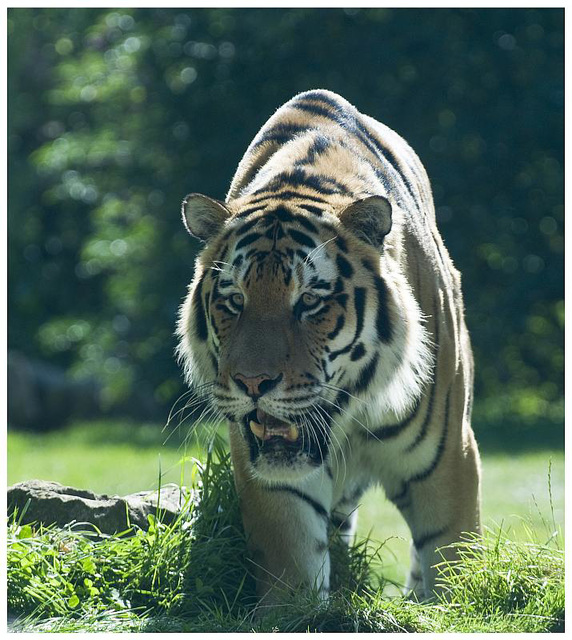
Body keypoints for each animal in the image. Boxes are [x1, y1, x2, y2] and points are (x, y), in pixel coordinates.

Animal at [177, 89, 480, 604]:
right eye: (235, 301)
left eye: (310, 302)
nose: (252, 383)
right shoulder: (269, 471)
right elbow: (294, 564)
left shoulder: (448, 458)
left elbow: (452, 560)